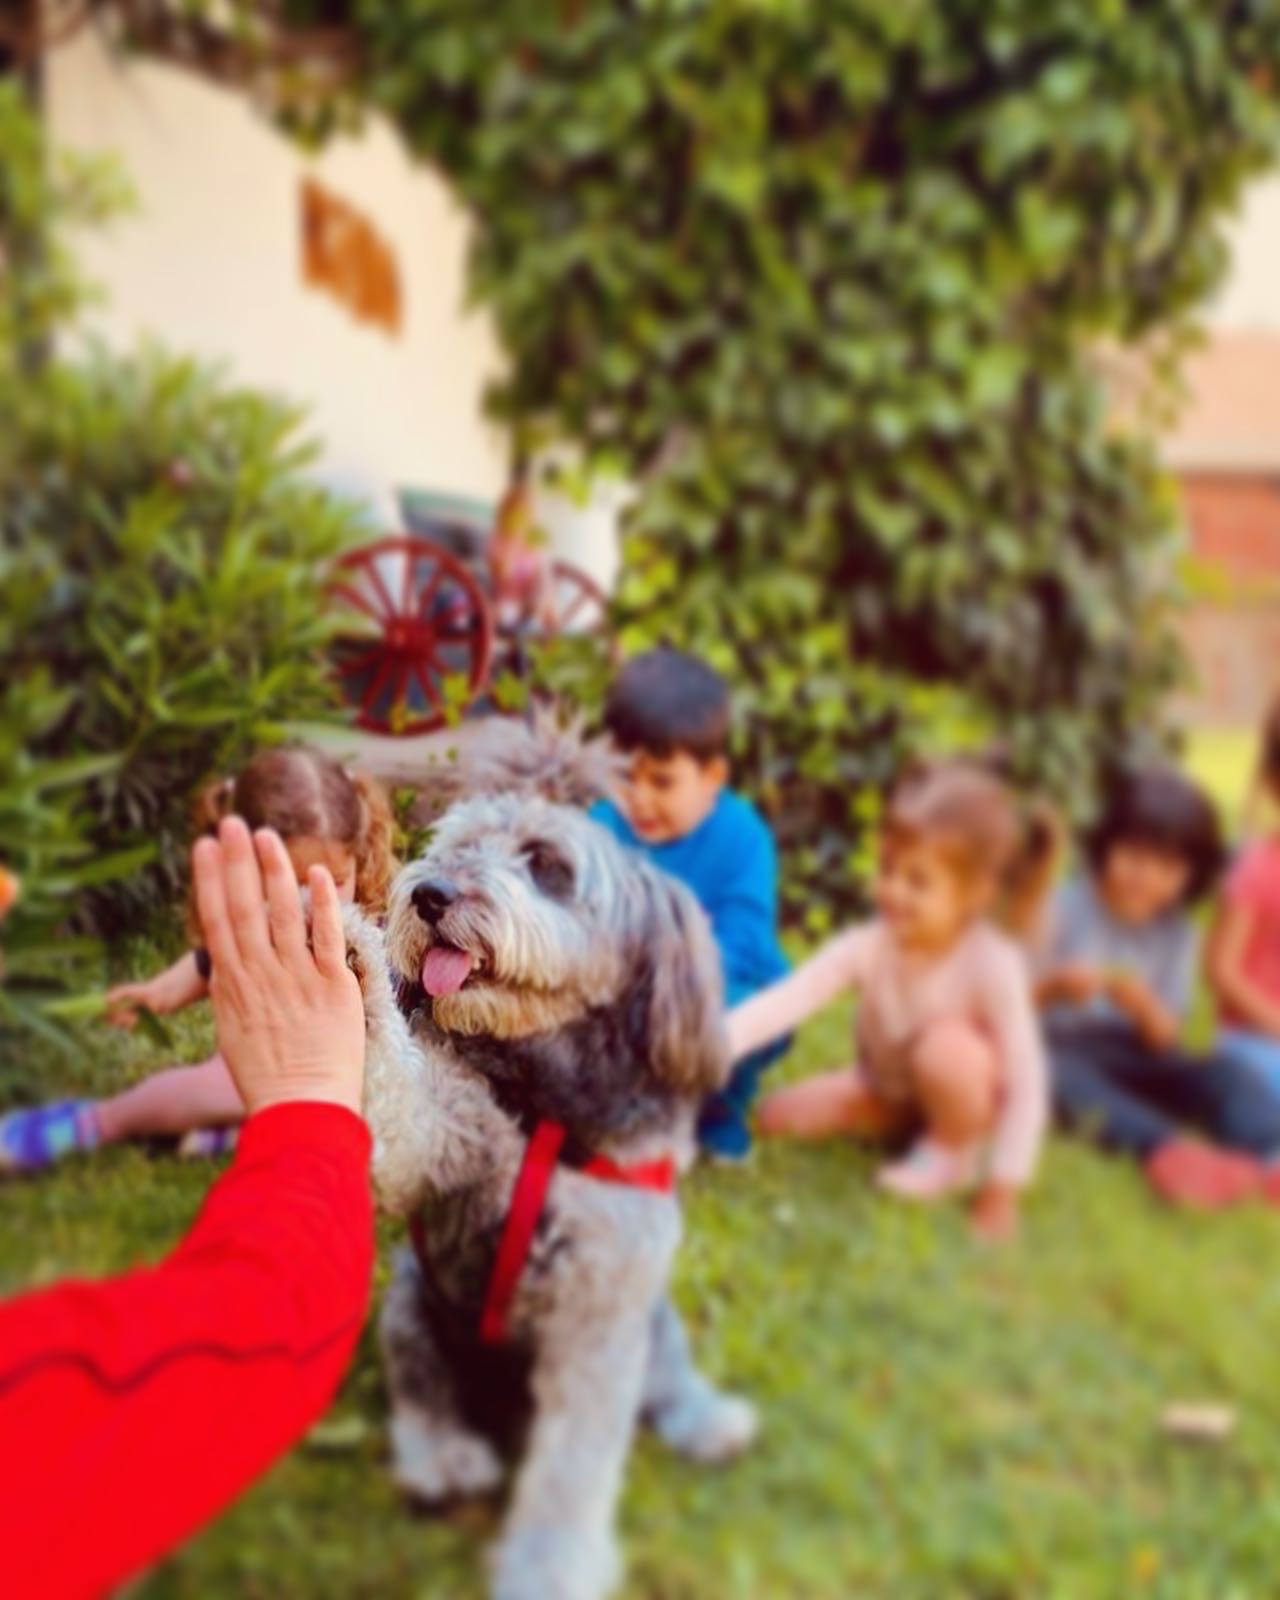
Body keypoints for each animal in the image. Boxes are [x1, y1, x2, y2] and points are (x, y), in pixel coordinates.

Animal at [345, 728, 757, 1600]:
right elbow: (399, 1103)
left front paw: (550, 1568)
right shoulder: (446, 1138)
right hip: (411, 1311)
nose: (428, 894)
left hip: (649, 1318)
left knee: (668, 1376)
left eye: (546, 862)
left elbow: (572, 1465)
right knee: (422, 1393)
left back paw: (707, 1419)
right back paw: (443, 1457)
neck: (546, 1106)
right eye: (458, 845)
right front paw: (354, 959)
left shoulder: (601, 1307)